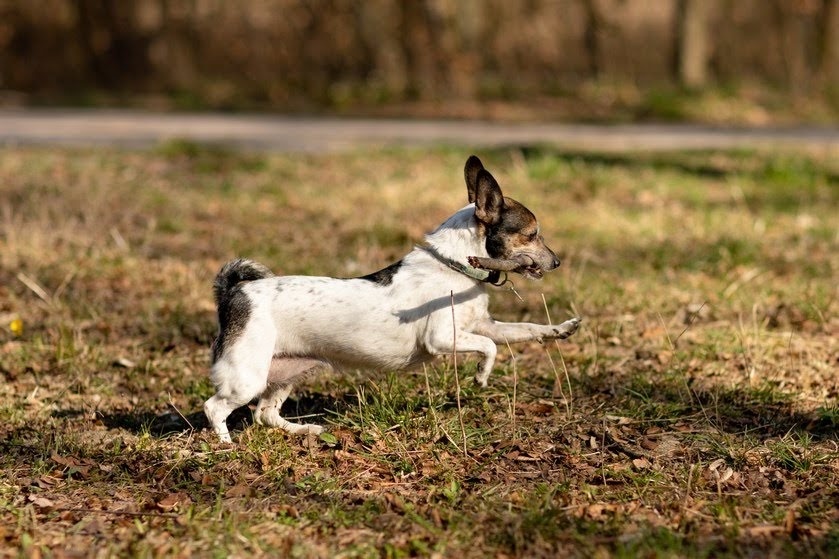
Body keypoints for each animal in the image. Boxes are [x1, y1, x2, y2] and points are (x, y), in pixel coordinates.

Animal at [207, 154, 580, 442]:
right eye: (532, 235)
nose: (557, 262)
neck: (456, 264)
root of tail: (235, 291)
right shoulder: (443, 338)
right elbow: (489, 349)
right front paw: (480, 376)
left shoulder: (485, 326)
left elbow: (525, 330)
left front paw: (561, 329)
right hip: (247, 377)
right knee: (215, 407)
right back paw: (227, 447)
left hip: (288, 371)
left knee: (265, 414)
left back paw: (306, 431)